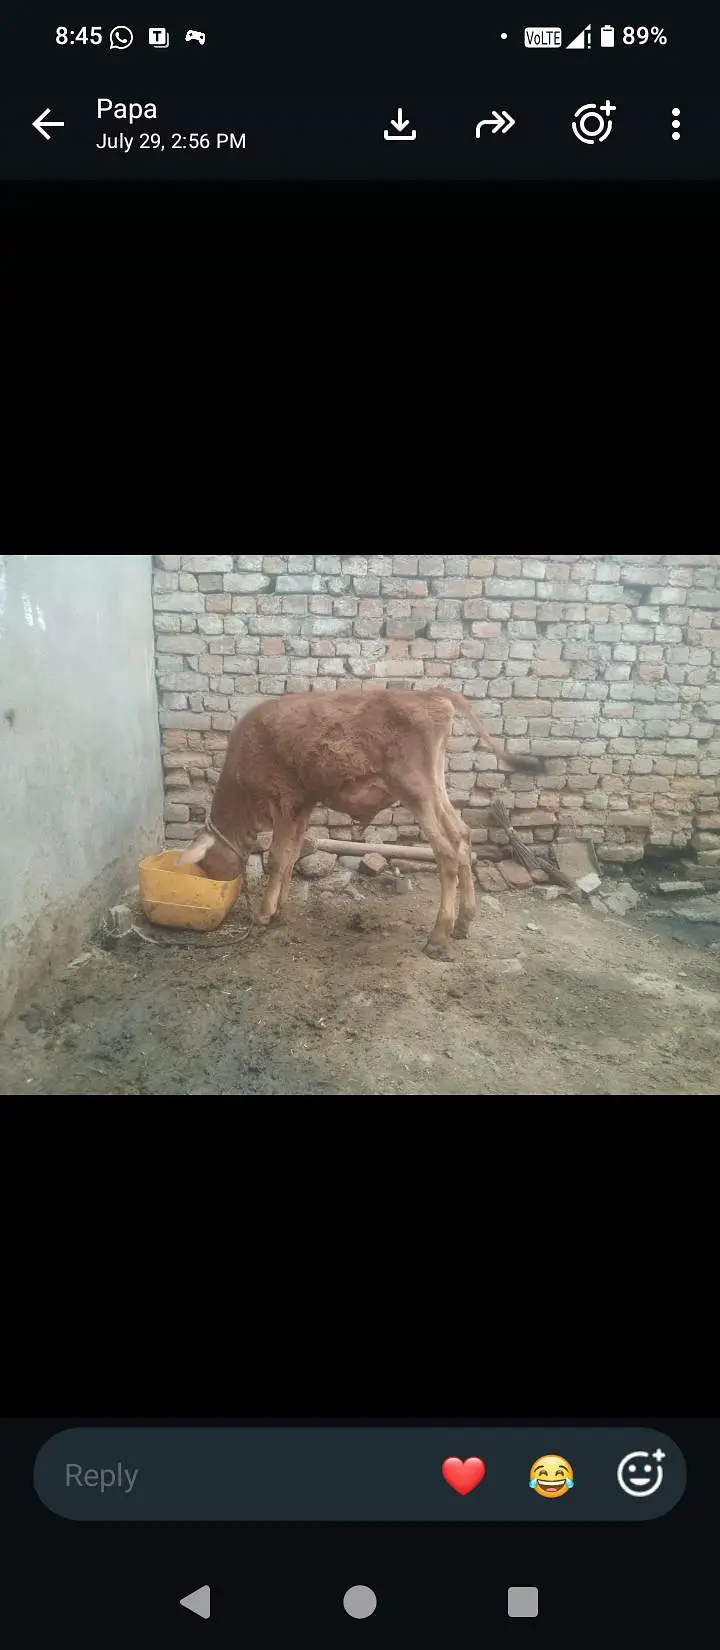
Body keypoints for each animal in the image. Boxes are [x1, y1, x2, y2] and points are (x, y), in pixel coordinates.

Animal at [177, 690, 543, 957]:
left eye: (206, 865)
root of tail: (428, 692)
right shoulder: (303, 804)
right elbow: (292, 855)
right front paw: (280, 910)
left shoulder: (285, 799)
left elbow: (278, 858)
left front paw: (263, 914)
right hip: (434, 787)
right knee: (462, 835)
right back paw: (463, 923)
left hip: (414, 789)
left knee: (446, 851)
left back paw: (439, 936)